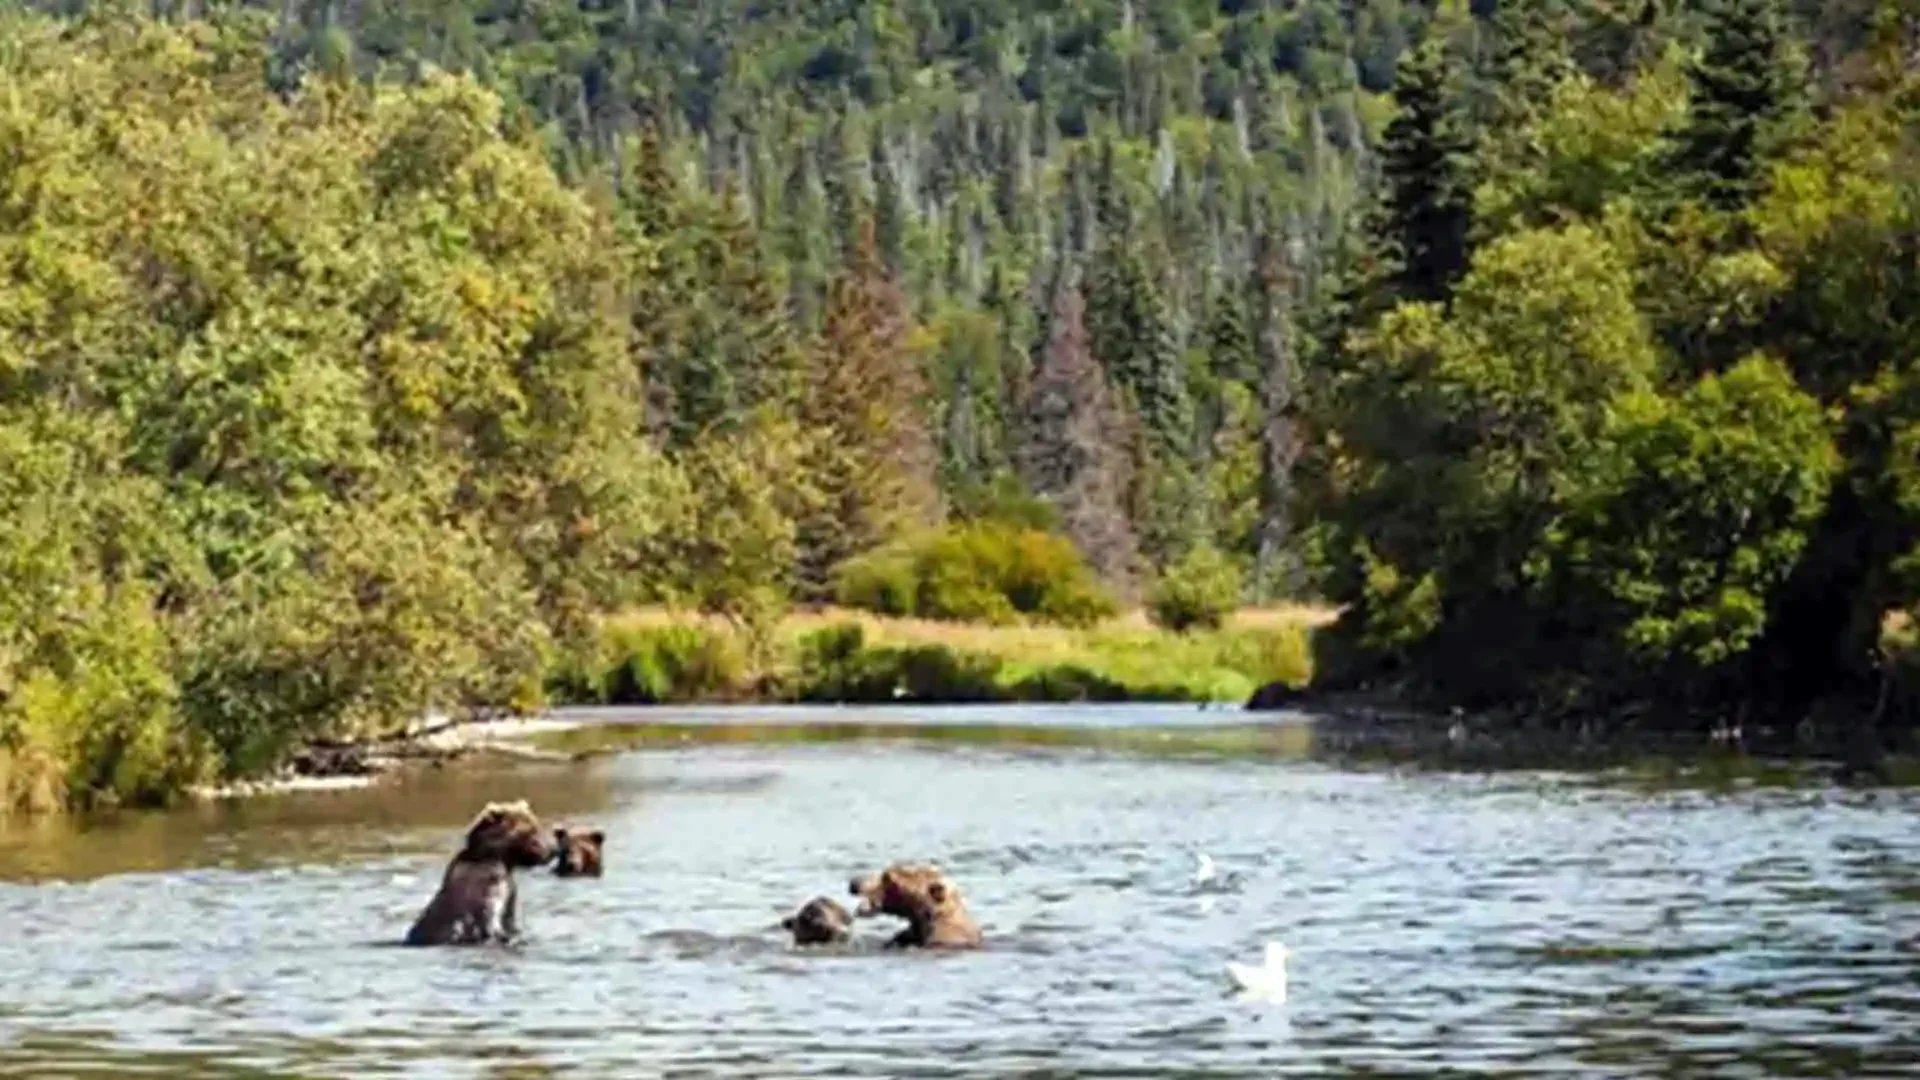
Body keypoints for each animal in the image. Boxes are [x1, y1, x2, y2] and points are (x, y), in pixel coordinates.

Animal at [404, 799, 554, 946]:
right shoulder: (486, 887)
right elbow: (488, 917)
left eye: (537, 826)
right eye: (531, 831)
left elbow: (508, 918)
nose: (550, 852)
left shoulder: (507, 889)